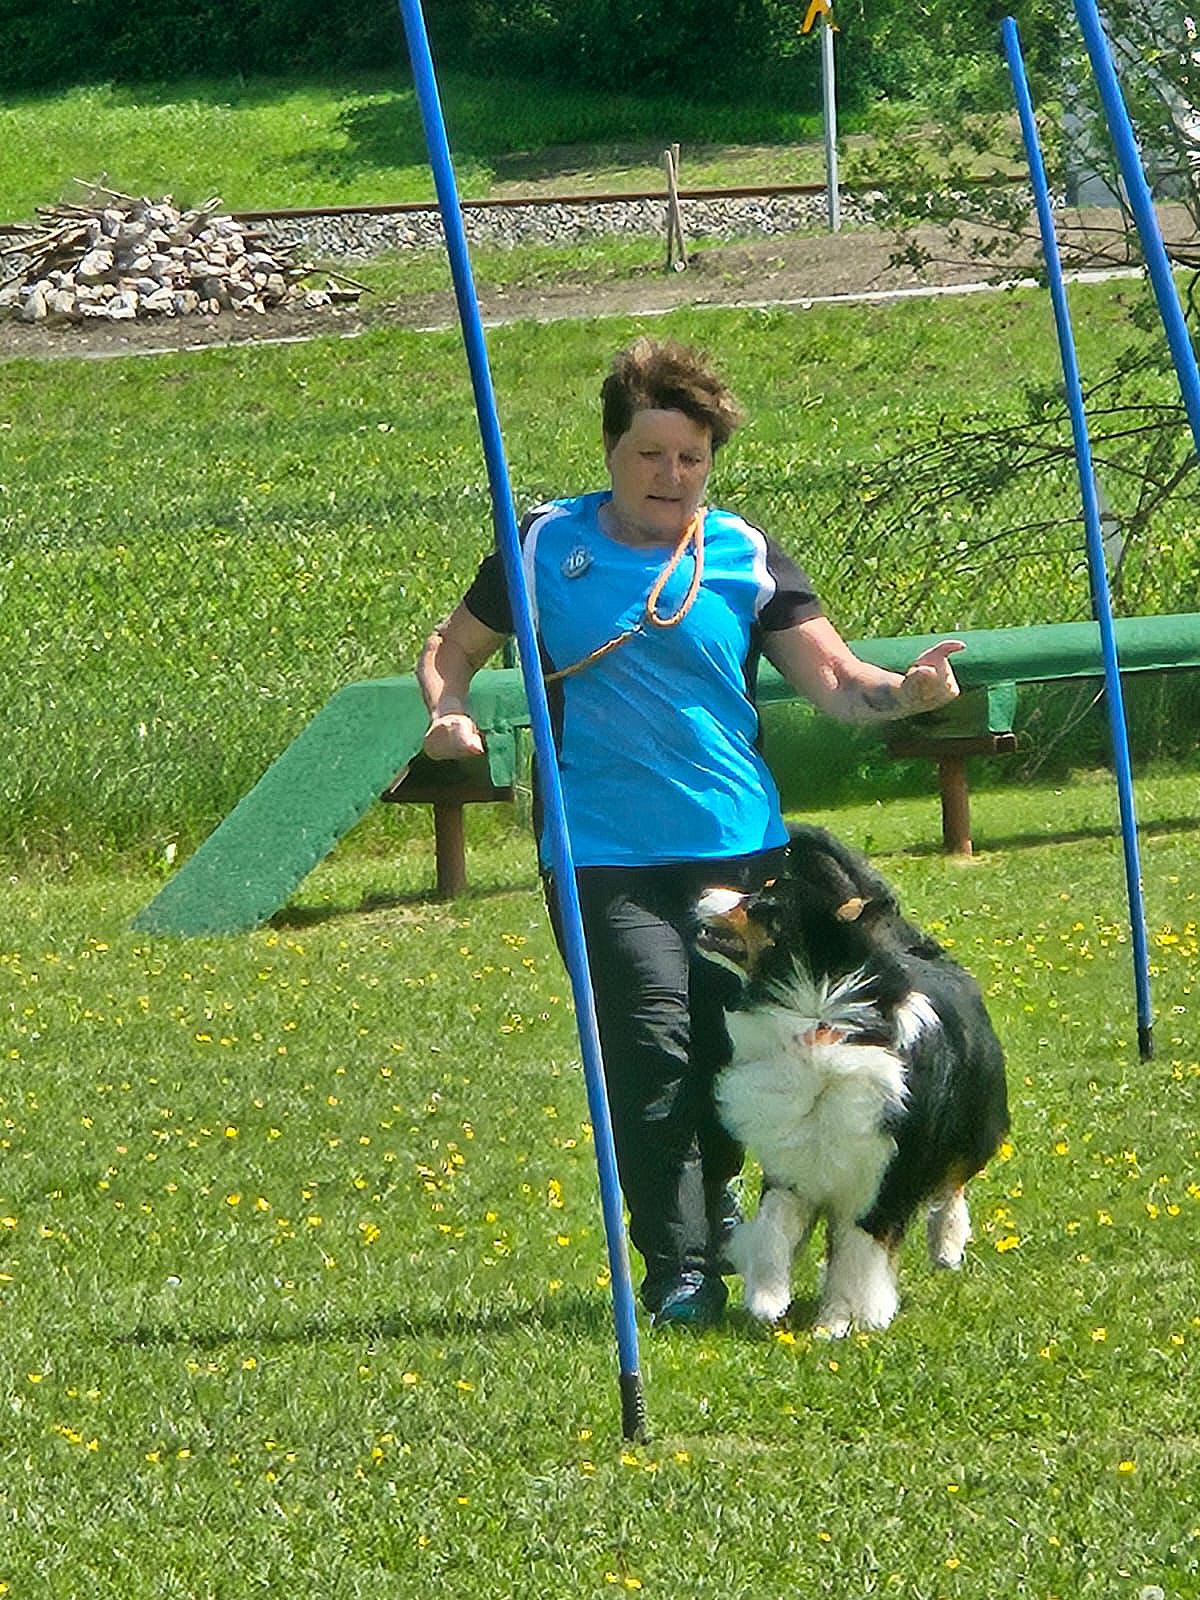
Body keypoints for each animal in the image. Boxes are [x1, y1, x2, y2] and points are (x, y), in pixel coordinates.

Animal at [696, 824, 1009, 1335]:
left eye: (765, 902)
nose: (702, 891)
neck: (819, 1014)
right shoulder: (795, 1162)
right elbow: (773, 1228)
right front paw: (766, 1298)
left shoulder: (881, 1178)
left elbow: (857, 1257)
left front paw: (839, 1322)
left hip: (972, 1125)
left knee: (953, 1182)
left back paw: (946, 1246)